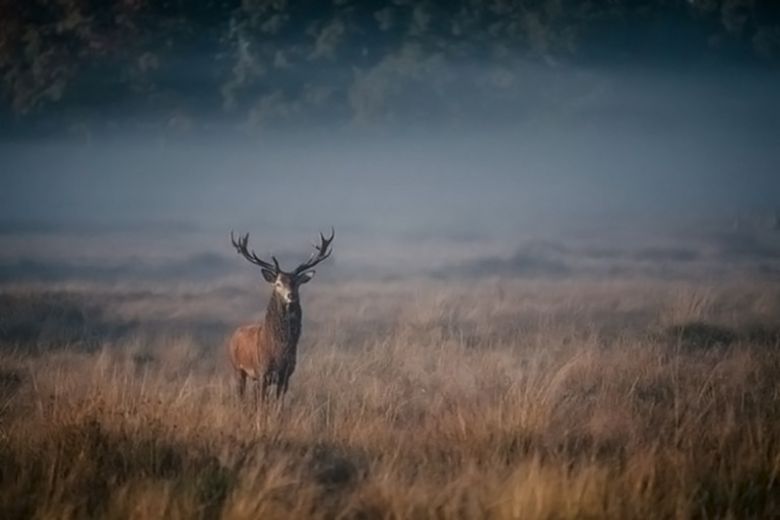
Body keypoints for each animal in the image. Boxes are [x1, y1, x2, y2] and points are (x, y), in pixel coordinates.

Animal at [227, 230, 334, 404]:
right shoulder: (262, 372)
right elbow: (262, 403)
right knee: (241, 395)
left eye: (296, 282)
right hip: (237, 369)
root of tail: (234, 334)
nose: (291, 295)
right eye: (278, 283)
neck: (278, 350)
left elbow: (278, 404)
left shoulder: (286, 375)